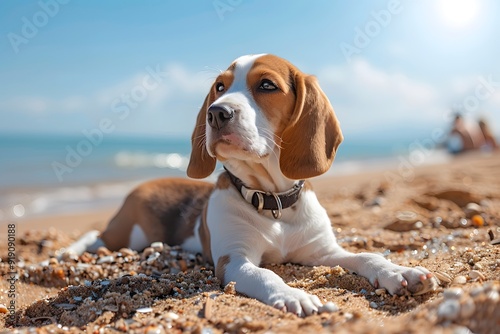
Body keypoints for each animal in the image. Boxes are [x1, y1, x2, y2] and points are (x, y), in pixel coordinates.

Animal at [64, 54, 436, 316]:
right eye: (219, 87)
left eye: (267, 85)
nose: (217, 112)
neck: (274, 201)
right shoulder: (234, 260)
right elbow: (267, 275)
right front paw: (293, 295)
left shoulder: (324, 252)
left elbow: (367, 255)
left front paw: (402, 272)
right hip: (129, 234)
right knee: (95, 235)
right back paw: (67, 251)